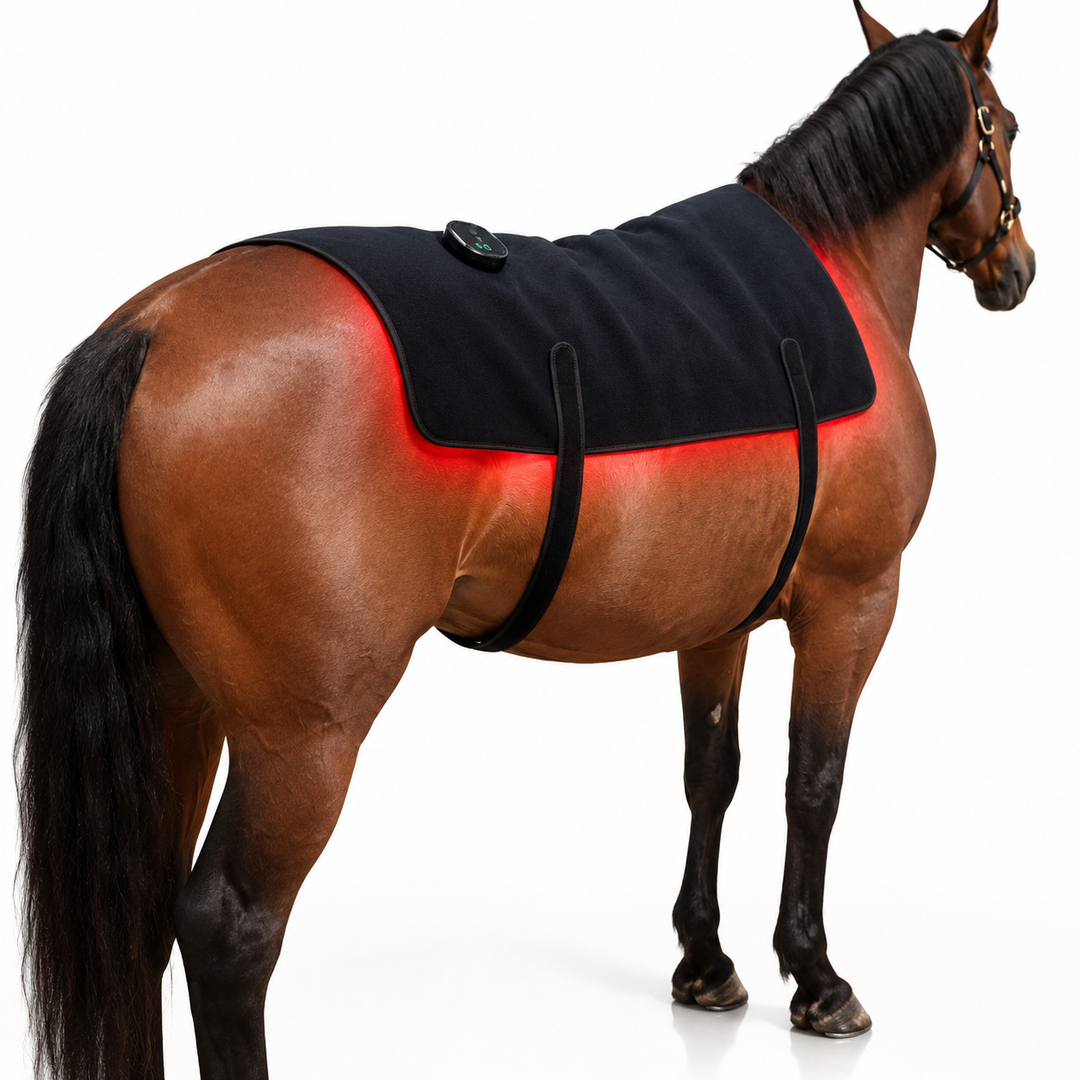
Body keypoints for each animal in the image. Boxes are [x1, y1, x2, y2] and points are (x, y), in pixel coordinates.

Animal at [16, 3, 1034, 1077]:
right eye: (1006, 127)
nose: (1017, 272)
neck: (838, 273)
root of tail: (155, 326)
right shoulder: (853, 602)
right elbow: (815, 783)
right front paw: (817, 977)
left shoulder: (716, 621)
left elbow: (710, 776)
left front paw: (706, 963)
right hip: (300, 741)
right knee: (227, 927)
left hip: (179, 702)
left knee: (143, 914)